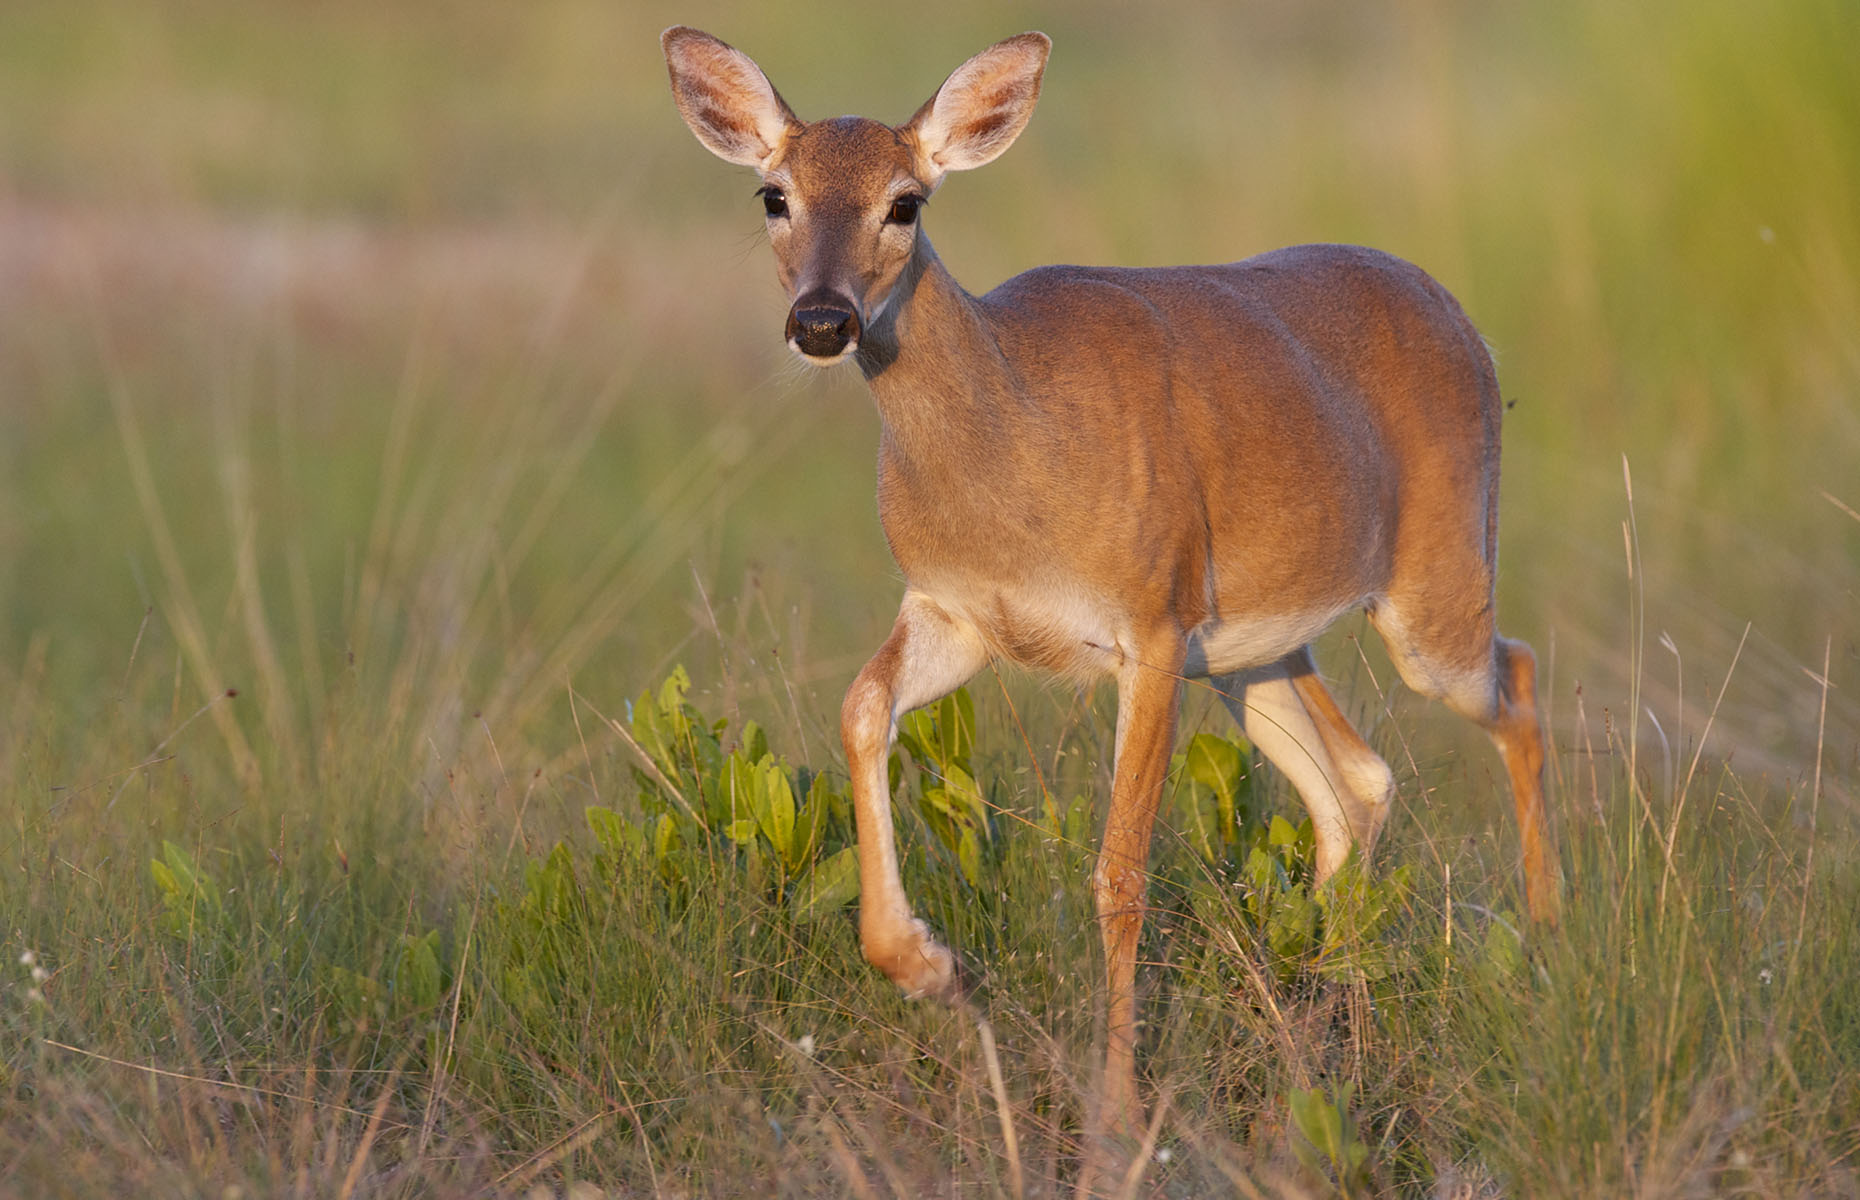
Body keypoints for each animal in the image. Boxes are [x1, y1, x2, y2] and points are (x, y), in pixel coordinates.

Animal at [662, 23, 1562, 1138]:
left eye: (907, 201)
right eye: (773, 194)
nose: (822, 321)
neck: (1015, 444)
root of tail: (1457, 312)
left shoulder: (1150, 623)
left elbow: (1120, 871)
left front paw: (1120, 1112)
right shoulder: (956, 609)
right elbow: (861, 708)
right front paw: (928, 965)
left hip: (1431, 586)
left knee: (1516, 679)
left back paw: (1543, 948)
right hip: (1257, 649)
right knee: (1357, 780)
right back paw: (1323, 1034)